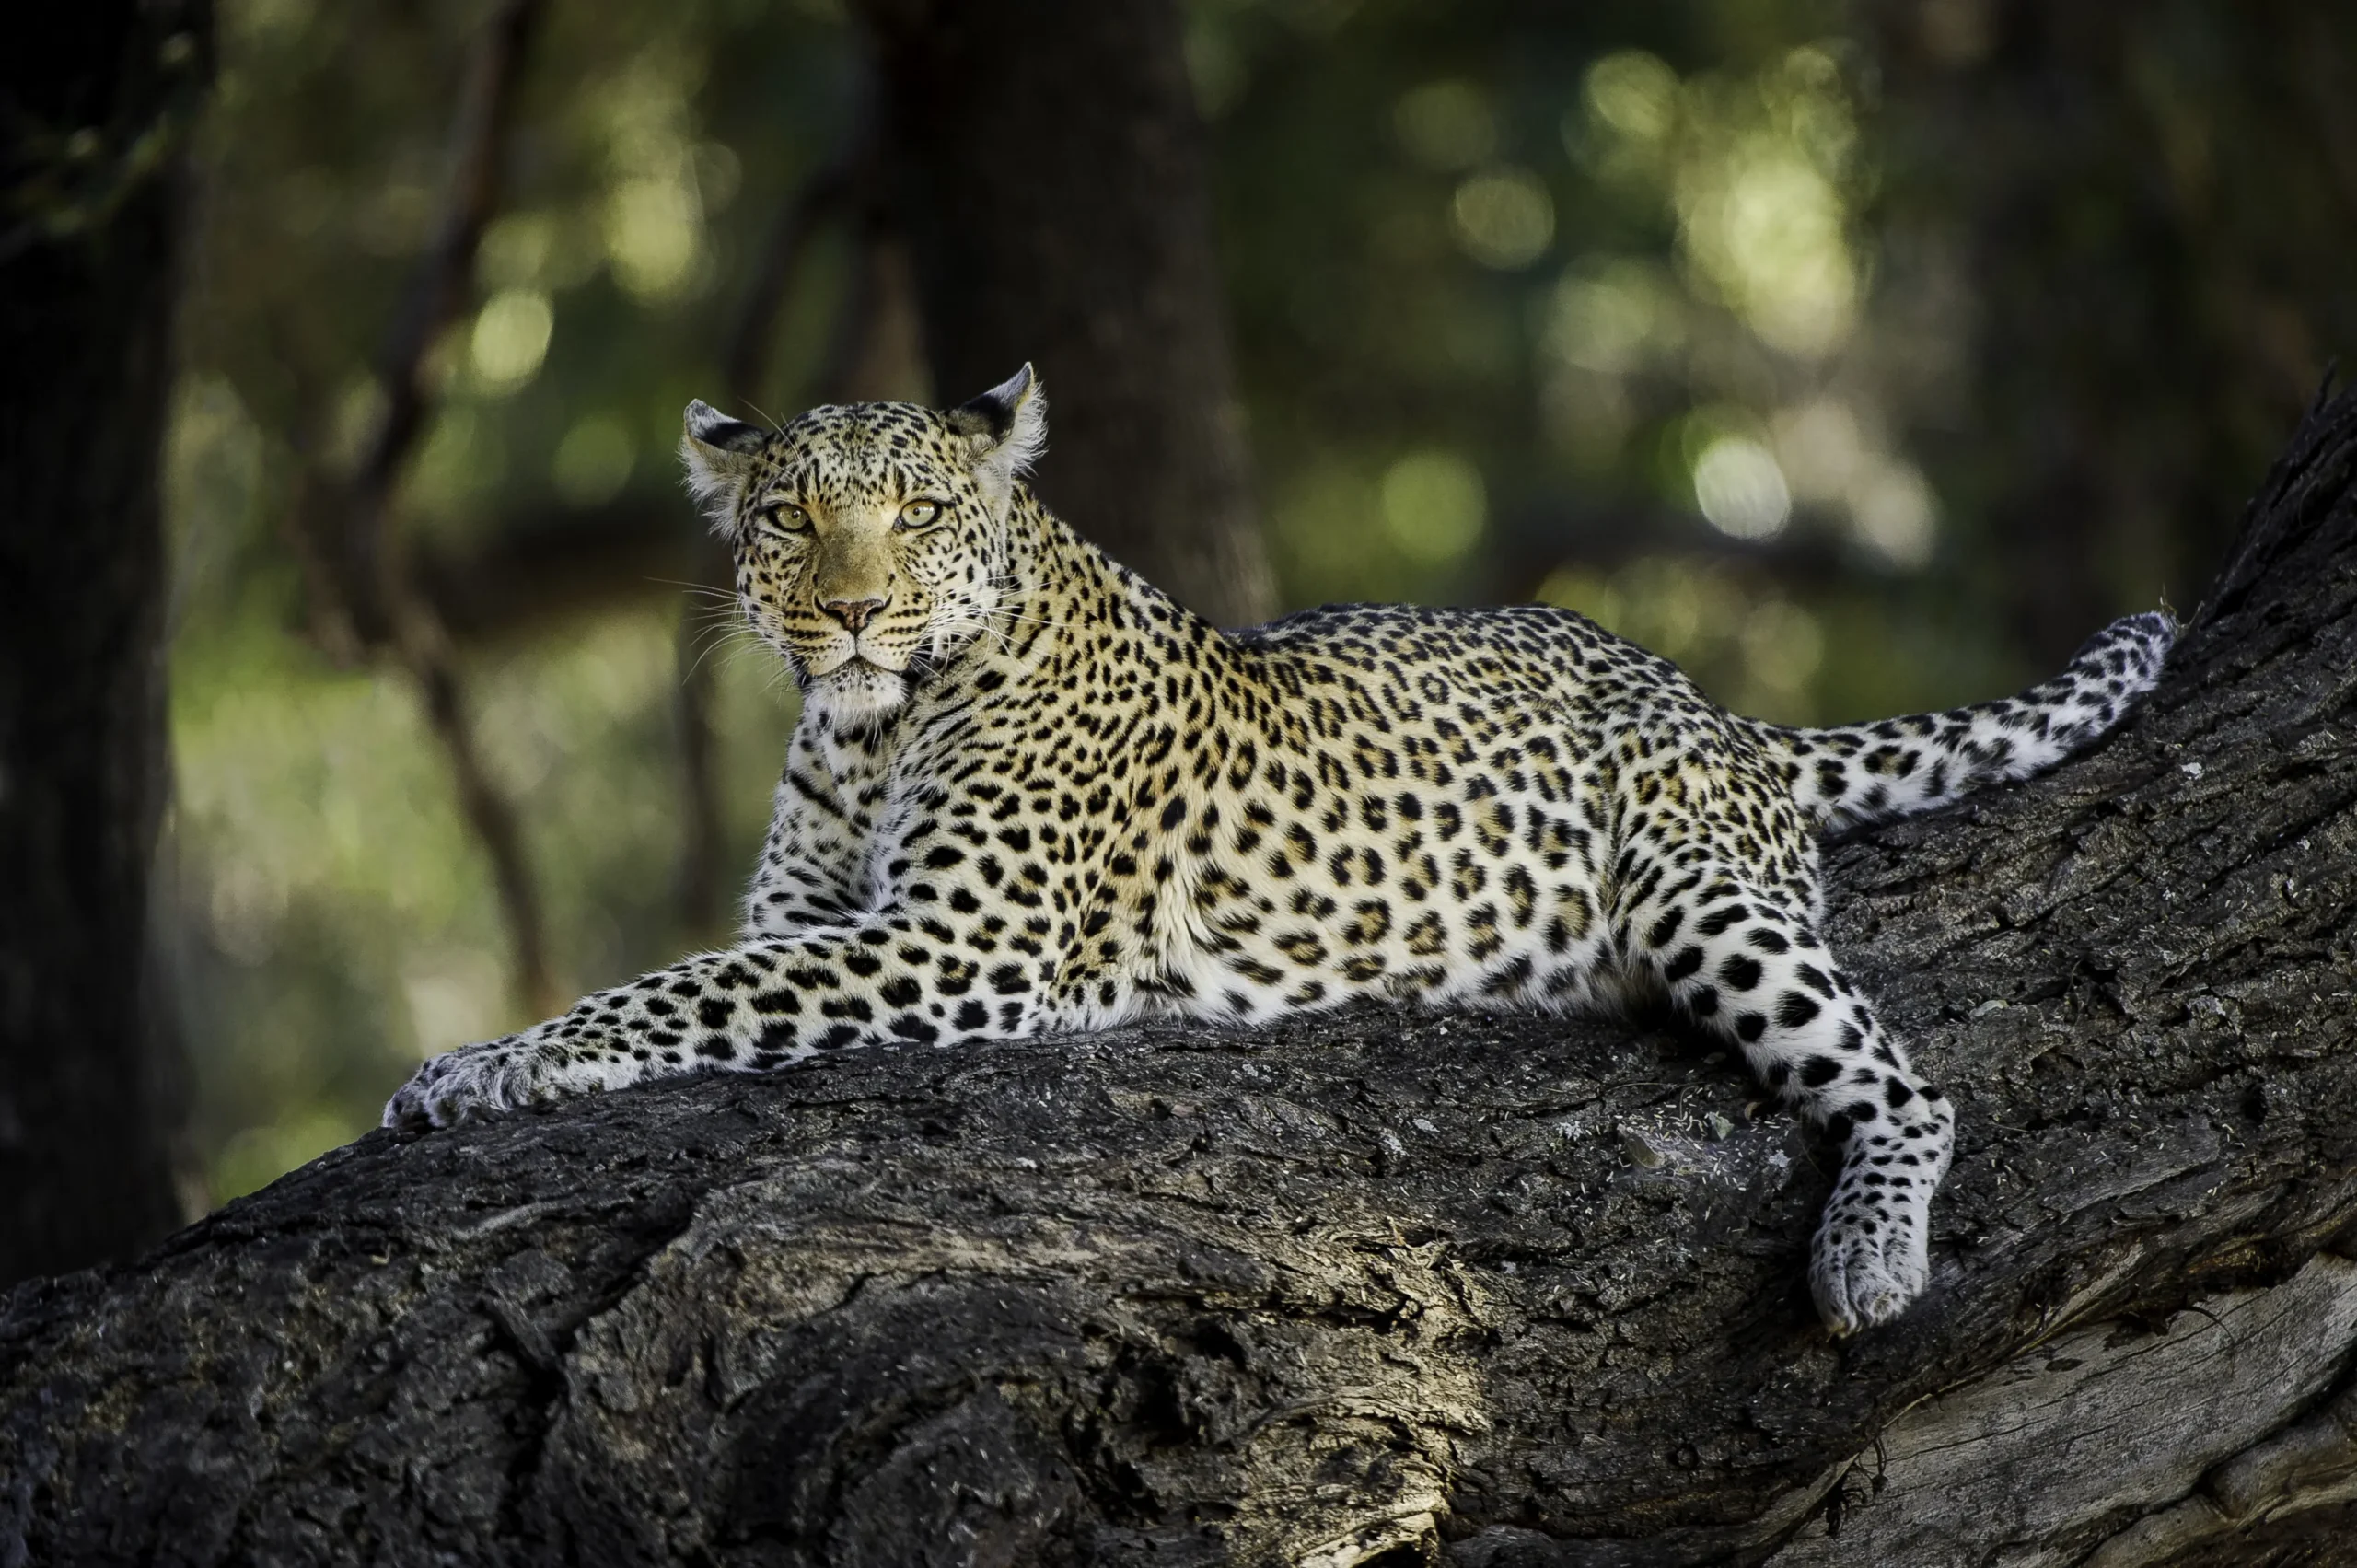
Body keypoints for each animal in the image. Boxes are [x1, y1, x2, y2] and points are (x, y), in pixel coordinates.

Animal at [384, 365, 2176, 1333]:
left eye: (915, 514)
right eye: (790, 518)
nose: (853, 611)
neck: (867, 729)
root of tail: (1713, 702)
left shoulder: (961, 946)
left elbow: (672, 991)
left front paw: (485, 1064)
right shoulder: (819, 918)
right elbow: (702, 972)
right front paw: (481, 1058)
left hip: (1701, 887)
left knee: (1908, 1083)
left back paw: (1868, 1252)